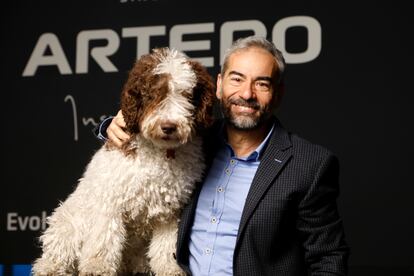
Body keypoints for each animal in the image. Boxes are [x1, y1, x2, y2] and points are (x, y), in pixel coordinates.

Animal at [31, 48, 217, 276]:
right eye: (153, 94)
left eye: (187, 95)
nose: (168, 126)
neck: (159, 153)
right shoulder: (110, 202)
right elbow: (103, 239)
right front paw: (97, 267)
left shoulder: (170, 213)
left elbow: (166, 247)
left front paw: (171, 268)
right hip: (67, 222)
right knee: (56, 251)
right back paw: (50, 267)